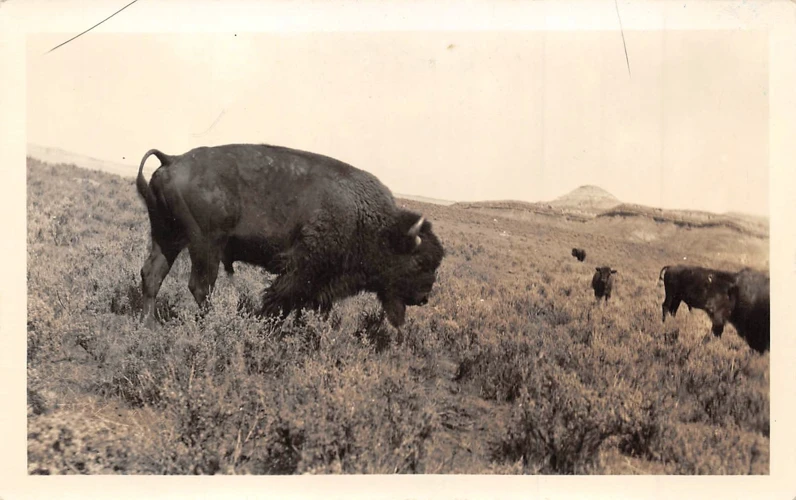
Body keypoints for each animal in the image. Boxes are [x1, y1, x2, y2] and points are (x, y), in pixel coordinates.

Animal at [138, 143, 448, 330]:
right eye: (419, 262)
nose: (424, 297)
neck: (376, 224)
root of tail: (172, 159)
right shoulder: (302, 269)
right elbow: (281, 300)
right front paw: (267, 326)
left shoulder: (322, 283)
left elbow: (310, 307)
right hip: (205, 244)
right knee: (200, 286)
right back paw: (211, 322)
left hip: (168, 236)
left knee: (152, 274)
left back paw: (149, 324)